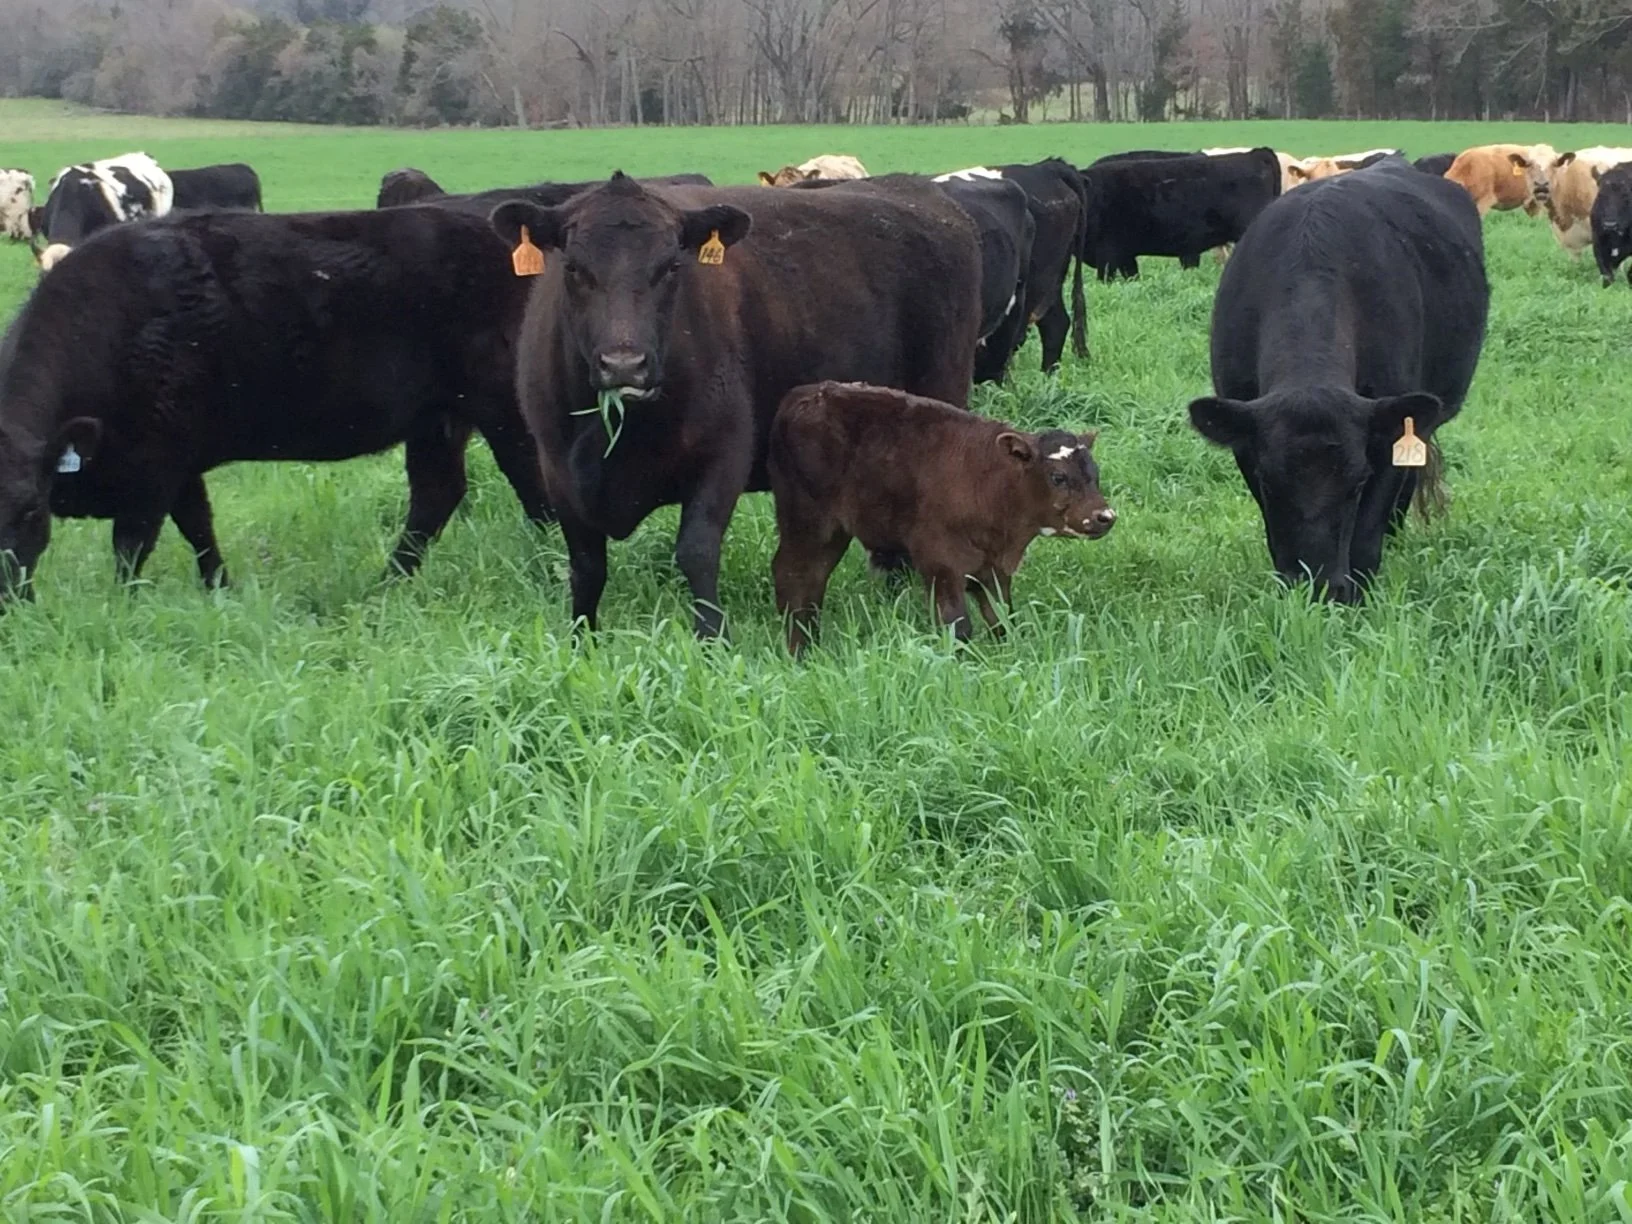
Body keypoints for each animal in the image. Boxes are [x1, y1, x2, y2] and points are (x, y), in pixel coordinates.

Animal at [0, 206, 553, 604]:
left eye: (30, 510)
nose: (7, 601)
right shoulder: (178, 464)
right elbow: (199, 528)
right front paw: (220, 590)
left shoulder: (155, 465)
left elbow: (132, 548)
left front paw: (124, 608)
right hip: (437, 418)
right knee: (436, 495)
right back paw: (386, 586)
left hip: (503, 408)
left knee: (532, 484)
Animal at [488, 171, 982, 637]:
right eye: (573, 268)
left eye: (672, 266)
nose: (624, 364)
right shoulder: (557, 469)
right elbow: (587, 566)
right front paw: (582, 637)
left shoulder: (725, 452)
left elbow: (696, 550)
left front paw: (712, 638)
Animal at [769, 381, 1114, 654]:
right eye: (1058, 477)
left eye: (1094, 475)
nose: (1105, 516)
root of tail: (807, 394)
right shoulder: (940, 563)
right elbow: (958, 627)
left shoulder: (994, 571)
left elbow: (1002, 619)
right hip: (808, 522)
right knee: (792, 574)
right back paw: (799, 649)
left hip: (832, 531)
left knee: (814, 578)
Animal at [1188, 159, 1488, 603]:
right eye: (1269, 479)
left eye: (1357, 481)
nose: (1320, 587)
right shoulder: (1246, 441)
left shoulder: (1385, 439)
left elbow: (1366, 537)